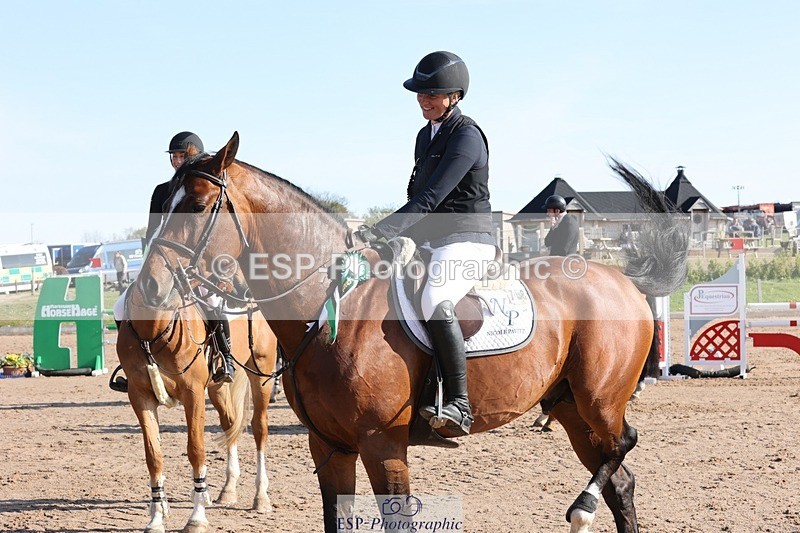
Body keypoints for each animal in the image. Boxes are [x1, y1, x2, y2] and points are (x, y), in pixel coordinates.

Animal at [116, 277, 279, 533]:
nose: (240, 289)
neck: (154, 333)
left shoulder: (192, 394)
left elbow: (195, 449)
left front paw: (197, 517)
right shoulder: (140, 396)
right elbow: (153, 454)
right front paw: (157, 517)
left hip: (261, 373)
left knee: (259, 428)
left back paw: (261, 497)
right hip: (217, 388)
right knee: (229, 424)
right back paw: (228, 490)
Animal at [137, 132, 688, 533]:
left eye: (196, 204)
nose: (148, 286)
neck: (334, 306)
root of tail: (626, 280)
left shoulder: (383, 445)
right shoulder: (330, 447)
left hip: (599, 400)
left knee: (624, 444)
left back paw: (581, 507)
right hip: (570, 406)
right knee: (622, 483)